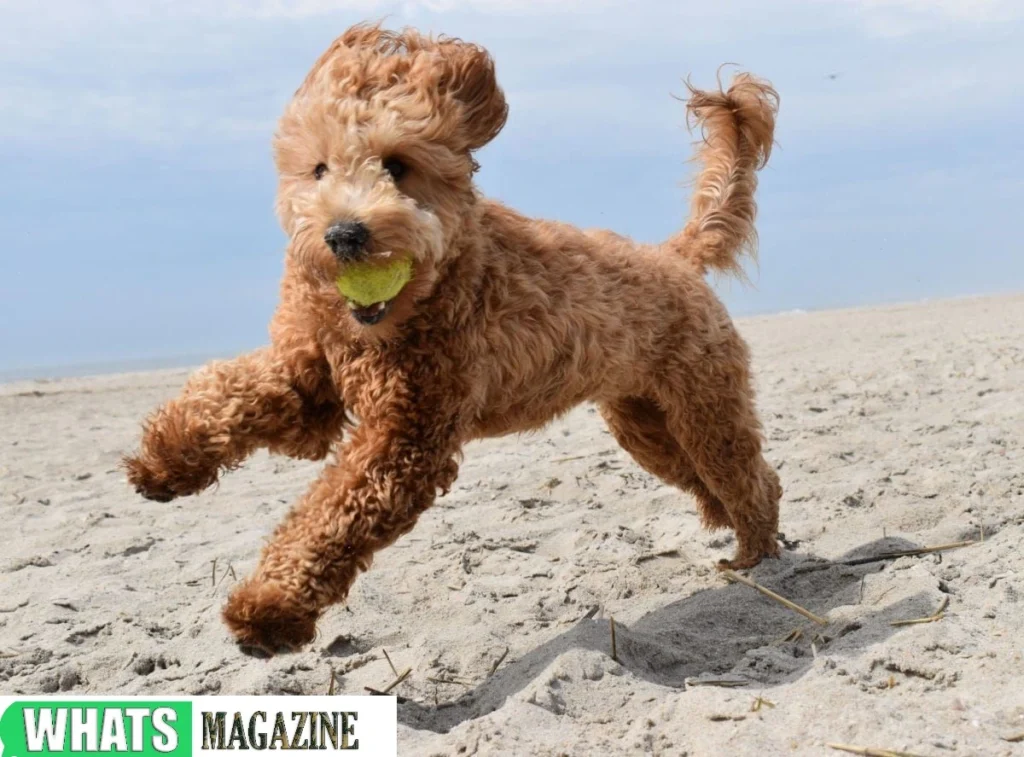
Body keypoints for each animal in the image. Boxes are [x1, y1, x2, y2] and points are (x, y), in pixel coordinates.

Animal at [123, 22, 778, 651]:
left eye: (396, 164)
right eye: (318, 168)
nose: (343, 235)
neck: (399, 310)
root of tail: (674, 256)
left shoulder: (406, 437)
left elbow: (331, 516)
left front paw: (269, 609)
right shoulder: (310, 376)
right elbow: (229, 392)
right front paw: (164, 460)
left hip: (704, 407)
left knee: (752, 477)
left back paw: (755, 555)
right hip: (646, 423)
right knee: (711, 479)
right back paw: (730, 531)